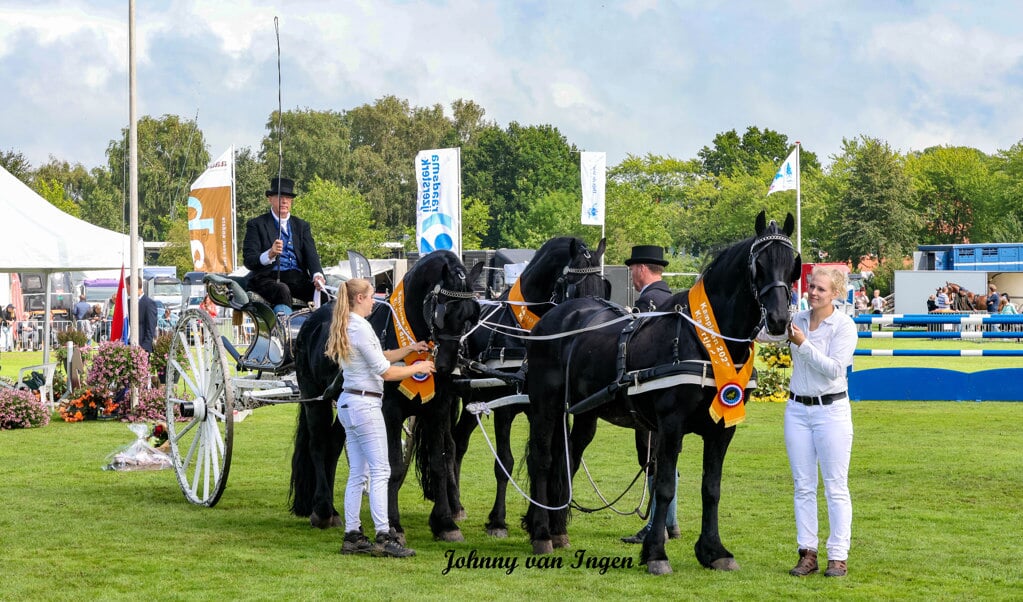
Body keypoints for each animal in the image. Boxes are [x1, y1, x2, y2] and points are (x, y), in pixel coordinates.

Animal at [286, 248, 480, 540]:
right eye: (443, 312)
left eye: (471, 316)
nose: (447, 364)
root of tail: (310, 320)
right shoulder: (390, 412)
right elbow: (393, 466)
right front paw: (393, 524)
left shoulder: (438, 409)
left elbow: (439, 461)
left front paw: (446, 524)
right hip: (315, 398)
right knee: (318, 445)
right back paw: (322, 510)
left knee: (333, 444)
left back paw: (333, 509)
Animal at [450, 235, 605, 536]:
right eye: (574, 287)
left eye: (603, 286)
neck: (526, 334)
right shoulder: (504, 409)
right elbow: (505, 462)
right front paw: (498, 520)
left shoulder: (546, 408)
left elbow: (547, 458)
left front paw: (537, 519)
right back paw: (452, 505)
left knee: (459, 441)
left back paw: (457, 505)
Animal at [523, 211, 802, 573]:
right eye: (759, 265)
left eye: (793, 265)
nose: (780, 319)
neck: (703, 340)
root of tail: (555, 316)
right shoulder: (671, 425)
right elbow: (666, 485)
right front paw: (656, 552)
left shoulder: (722, 429)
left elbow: (711, 488)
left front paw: (714, 550)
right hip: (546, 404)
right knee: (542, 460)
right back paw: (542, 533)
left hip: (584, 412)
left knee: (567, 458)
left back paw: (557, 530)